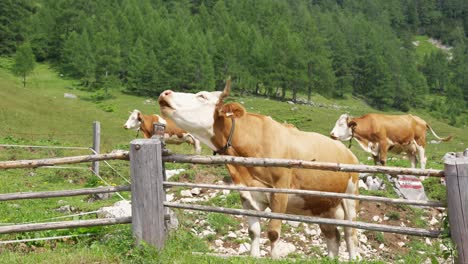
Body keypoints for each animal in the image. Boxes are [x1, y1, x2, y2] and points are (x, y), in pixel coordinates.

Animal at [159, 80, 360, 260]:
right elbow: (254, 231)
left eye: (202, 96)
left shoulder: (280, 192)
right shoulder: (246, 193)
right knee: (333, 235)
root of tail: (348, 153)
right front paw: (254, 256)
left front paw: (274, 257)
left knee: (350, 234)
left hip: (350, 198)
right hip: (322, 205)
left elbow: (273, 232)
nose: (165, 93)